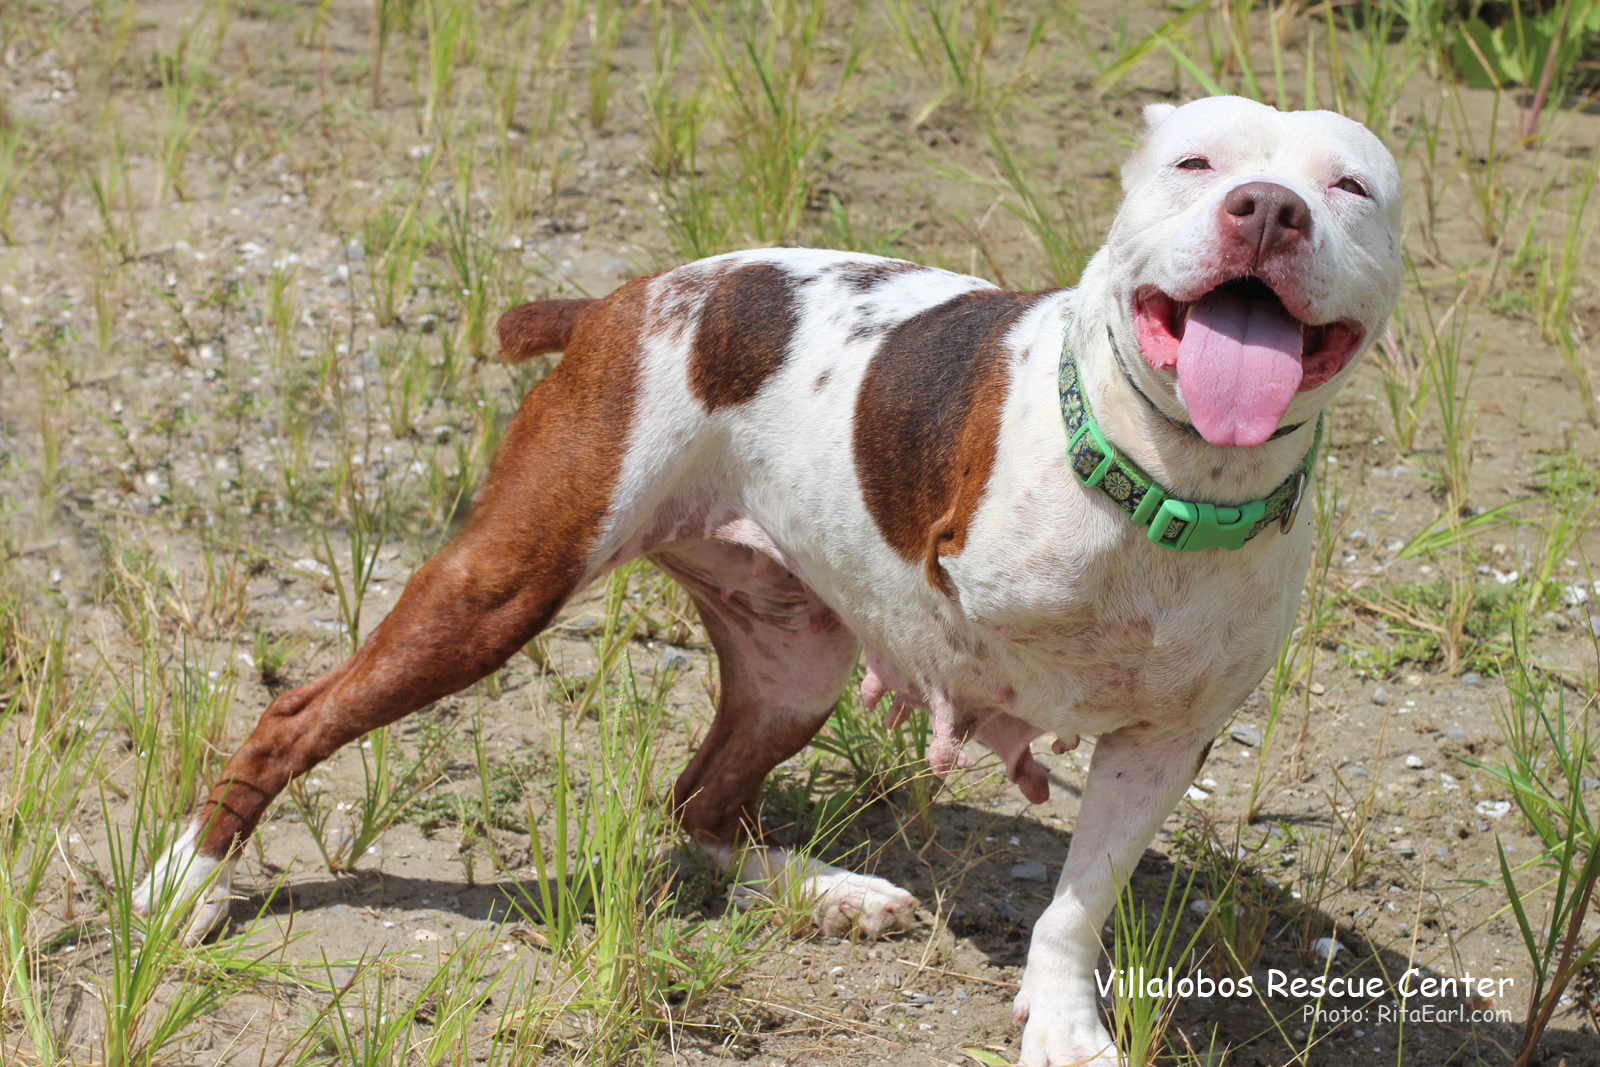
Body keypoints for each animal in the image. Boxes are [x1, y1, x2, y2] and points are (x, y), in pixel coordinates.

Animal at [137, 95, 1401, 1062]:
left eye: (1349, 186)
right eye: (1198, 162)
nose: (1268, 207)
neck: (1179, 479)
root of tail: (618, 298)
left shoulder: (1162, 740)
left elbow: (1080, 897)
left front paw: (1062, 1021)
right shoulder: (972, 569)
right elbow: (971, 633)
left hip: (795, 662)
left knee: (697, 798)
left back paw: (820, 888)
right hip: (501, 585)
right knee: (299, 714)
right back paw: (185, 881)